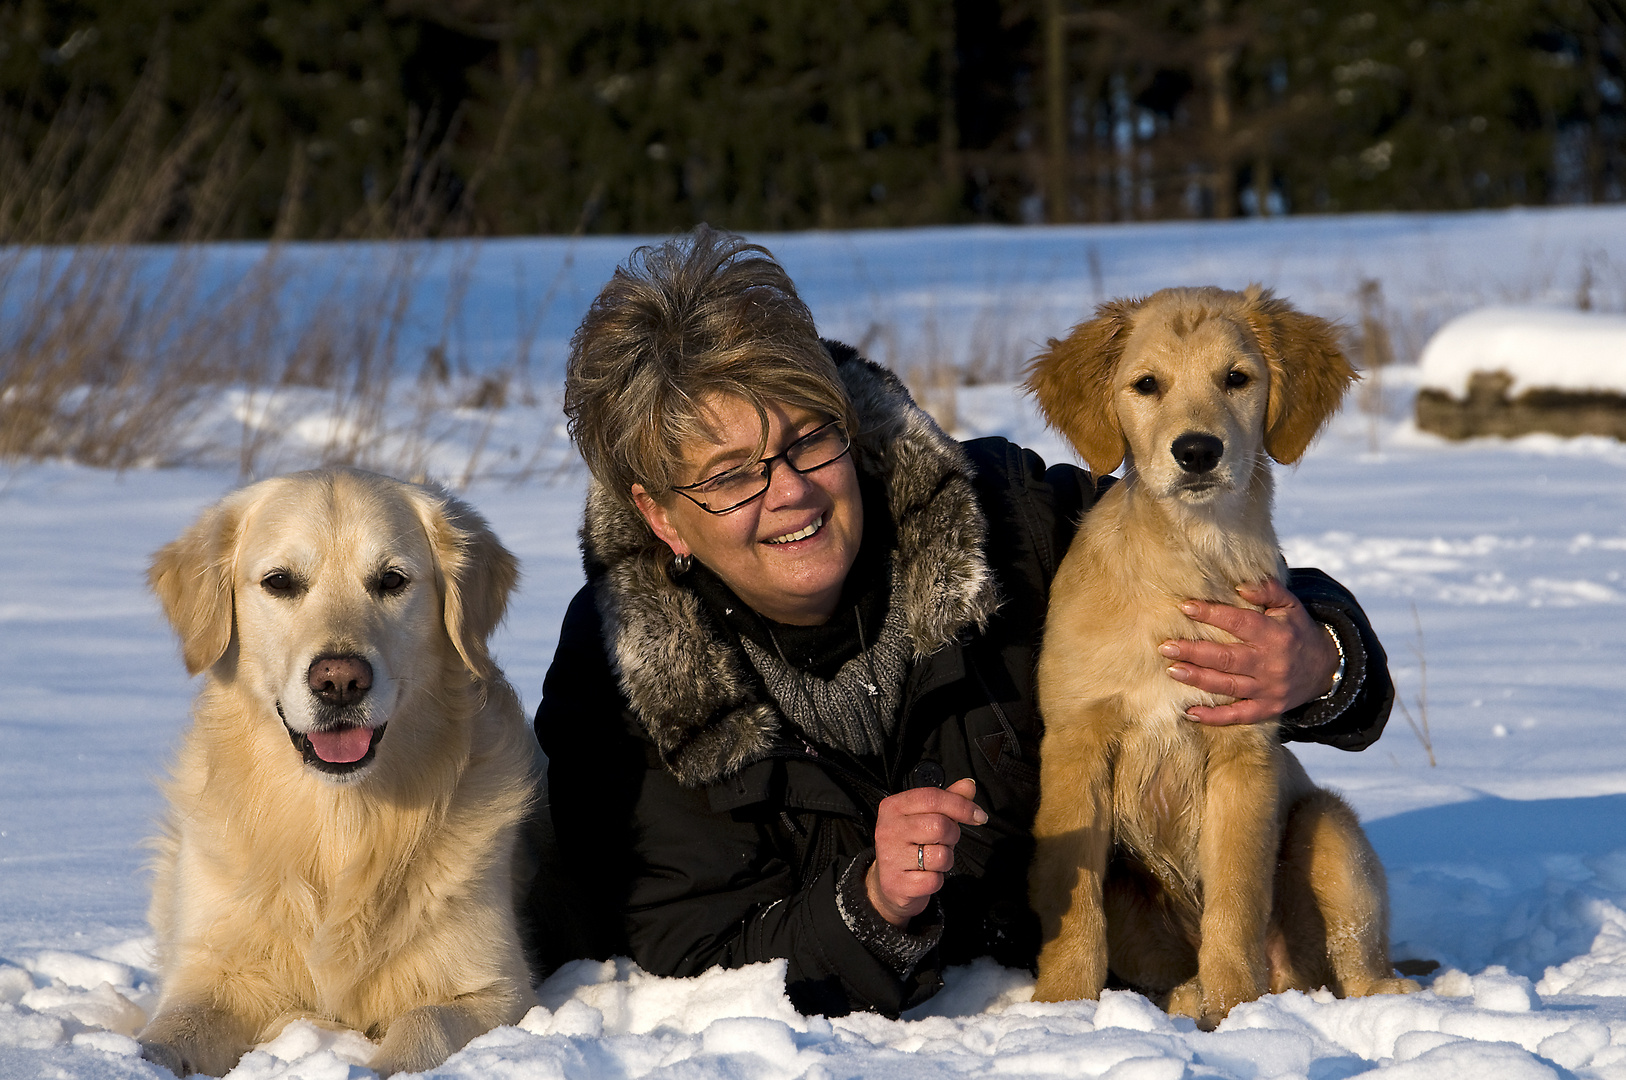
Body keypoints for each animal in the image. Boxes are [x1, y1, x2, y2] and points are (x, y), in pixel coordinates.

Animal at [137, 471, 536, 1080]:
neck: (337, 822)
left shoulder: (495, 990)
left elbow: (423, 1024)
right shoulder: (211, 976)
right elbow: (166, 1035)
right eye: (279, 582)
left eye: (392, 580)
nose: (340, 681)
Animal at [1034, 286, 1417, 1027]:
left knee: (1361, 967)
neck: (1186, 559)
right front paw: (1058, 1010)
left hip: (1329, 829)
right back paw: (1183, 1000)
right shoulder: (1074, 742)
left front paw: (1238, 1011)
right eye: (1146, 385)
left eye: (1236, 379)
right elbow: (1072, 907)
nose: (1196, 451)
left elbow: (1236, 902)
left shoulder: (1243, 753)